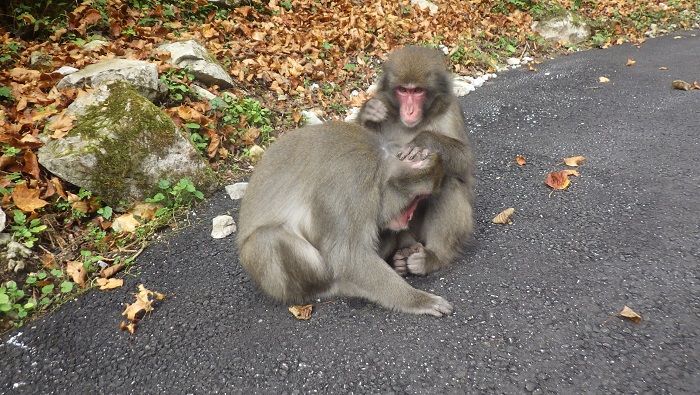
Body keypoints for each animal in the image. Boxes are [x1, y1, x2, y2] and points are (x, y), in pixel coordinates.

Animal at [237, 120, 454, 316]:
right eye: (416, 199)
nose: (409, 217)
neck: (377, 166)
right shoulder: (350, 187)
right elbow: (348, 255)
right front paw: (417, 300)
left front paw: (409, 249)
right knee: (267, 239)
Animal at [356, 45, 476, 278]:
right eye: (403, 90)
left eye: (418, 91)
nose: (409, 110)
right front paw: (368, 112)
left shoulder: (450, 111)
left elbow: (466, 160)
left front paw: (423, 140)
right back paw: (402, 255)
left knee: (449, 182)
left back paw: (432, 257)